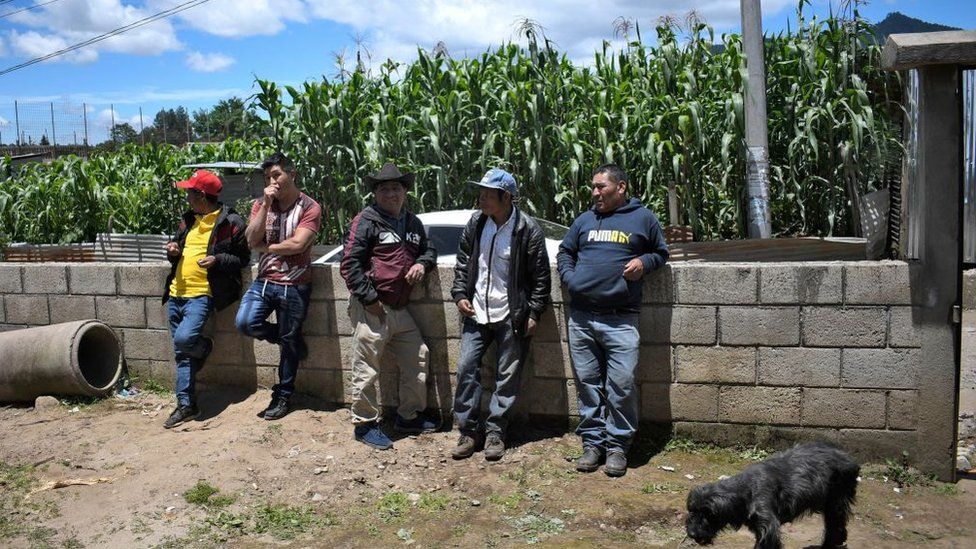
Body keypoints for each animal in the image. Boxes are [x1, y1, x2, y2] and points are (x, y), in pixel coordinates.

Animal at [684, 440, 856, 548]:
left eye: (709, 514)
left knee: (835, 526)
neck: (746, 490)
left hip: (835, 503)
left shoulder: (768, 528)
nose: (691, 533)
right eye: (692, 511)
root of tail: (847, 457)